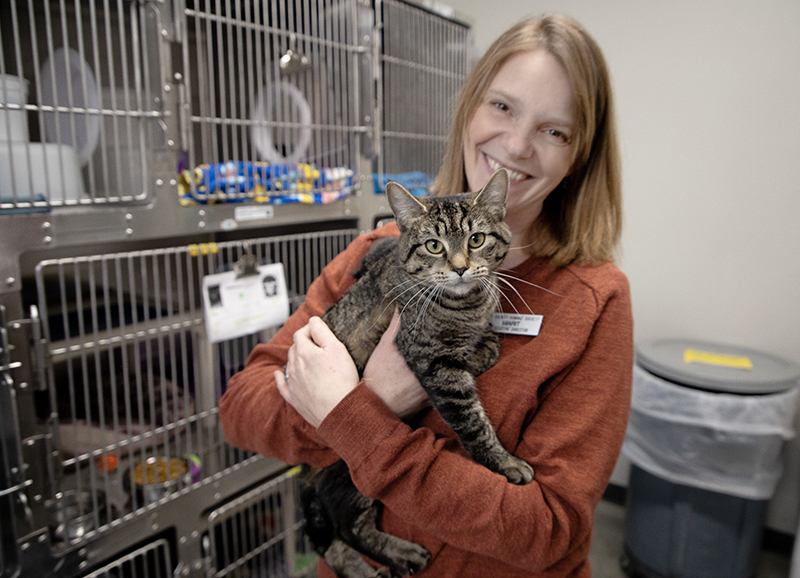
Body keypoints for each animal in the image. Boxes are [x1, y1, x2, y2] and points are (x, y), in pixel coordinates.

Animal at [300, 168, 532, 576]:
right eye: (434, 246)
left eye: (476, 239)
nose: (460, 267)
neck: (466, 305)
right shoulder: (433, 363)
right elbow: (473, 422)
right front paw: (503, 462)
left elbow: (489, 344)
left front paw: (482, 344)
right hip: (350, 477)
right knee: (346, 529)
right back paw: (389, 557)